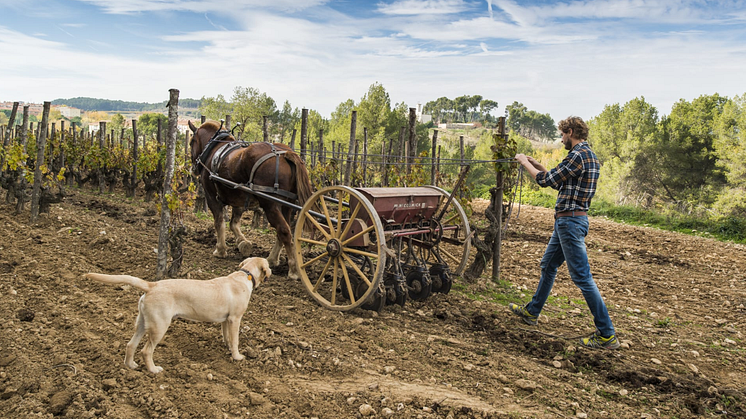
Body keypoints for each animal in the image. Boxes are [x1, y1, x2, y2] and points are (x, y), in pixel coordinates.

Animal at [85, 258, 270, 376]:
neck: (245, 275)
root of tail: (152, 285)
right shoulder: (235, 319)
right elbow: (236, 340)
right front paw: (237, 357)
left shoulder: (226, 320)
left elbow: (227, 337)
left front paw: (228, 347)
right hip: (160, 326)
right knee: (146, 351)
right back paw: (153, 370)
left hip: (143, 323)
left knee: (130, 345)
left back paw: (130, 365)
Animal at [189, 120, 314, 280]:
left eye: (191, 141)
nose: (194, 168)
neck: (215, 149)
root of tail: (286, 153)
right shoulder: (239, 197)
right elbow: (234, 223)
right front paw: (243, 243)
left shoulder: (211, 196)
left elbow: (219, 222)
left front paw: (220, 250)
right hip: (287, 204)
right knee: (284, 231)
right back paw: (272, 259)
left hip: (270, 204)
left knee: (284, 230)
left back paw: (293, 270)